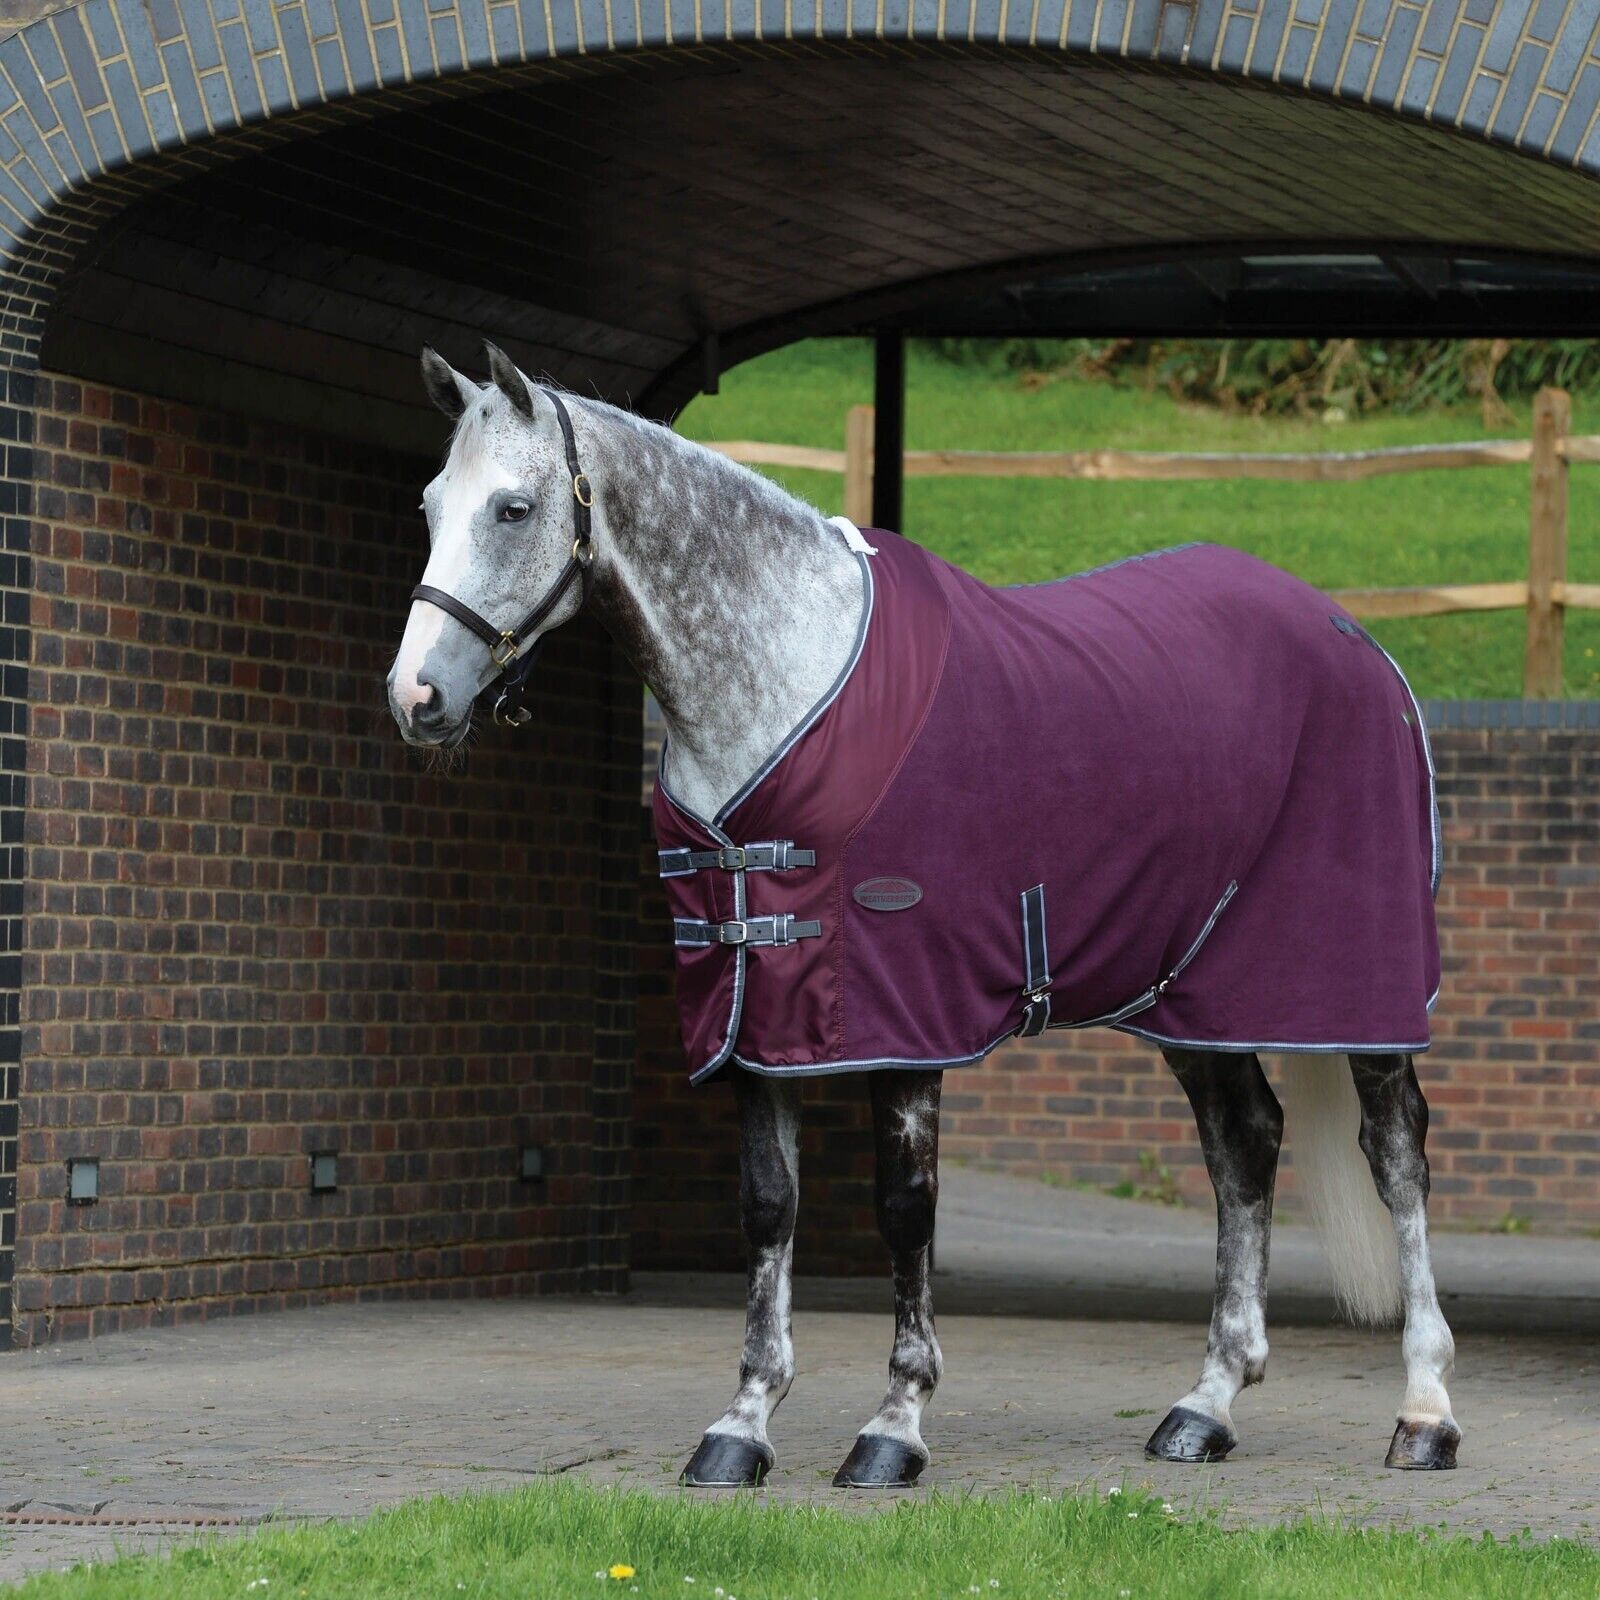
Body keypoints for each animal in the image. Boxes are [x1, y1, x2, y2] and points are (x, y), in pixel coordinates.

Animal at [386, 342, 1461, 1490]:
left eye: (513, 507)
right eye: (429, 504)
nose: (416, 699)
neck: (784, 673)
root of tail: (1357, 642)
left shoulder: (904, 1009)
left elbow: (905, 1210)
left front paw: (894, 1426)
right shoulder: (755, 1012)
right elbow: (768, 1206)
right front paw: (742, 1425)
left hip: (1355, 985)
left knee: (1395, 1153)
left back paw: (1424, 1412)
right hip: (1190, 992)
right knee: (1244, 1145)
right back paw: (1205, 1405)